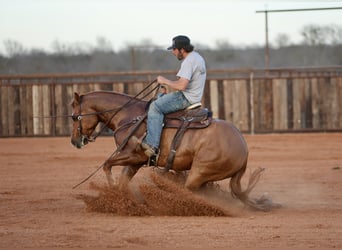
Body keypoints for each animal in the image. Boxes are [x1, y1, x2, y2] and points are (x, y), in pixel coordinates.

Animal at [71, 90, 272, 211]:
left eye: (74, 117)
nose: (74, 141)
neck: (129, 117)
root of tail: (243, 150)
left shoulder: (132, 155)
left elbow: (107, 164)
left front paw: (112, 189)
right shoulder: (136, 161)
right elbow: (123, 180)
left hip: (199, 172)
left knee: (190, 191)